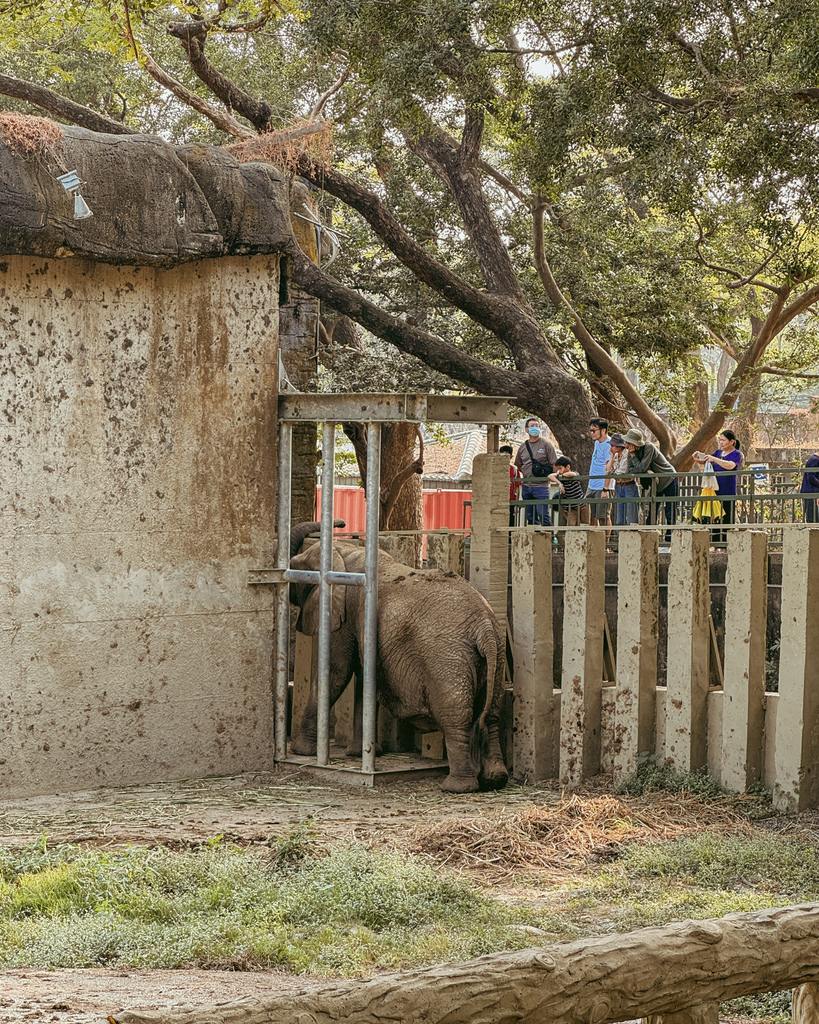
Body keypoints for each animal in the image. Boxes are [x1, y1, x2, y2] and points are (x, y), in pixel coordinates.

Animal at [284, 520, 507, 790]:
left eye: (295, 568)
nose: (342, 523)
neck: (346, 553)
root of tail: (484, 627)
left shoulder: (344, 611)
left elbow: (337, 671)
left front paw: (301, 752)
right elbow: (362, 677)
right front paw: (360, 754)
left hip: (447, 662)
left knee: (456, 717)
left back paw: (456, 787)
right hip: (496, 657)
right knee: (492, 714)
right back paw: (495, 779)